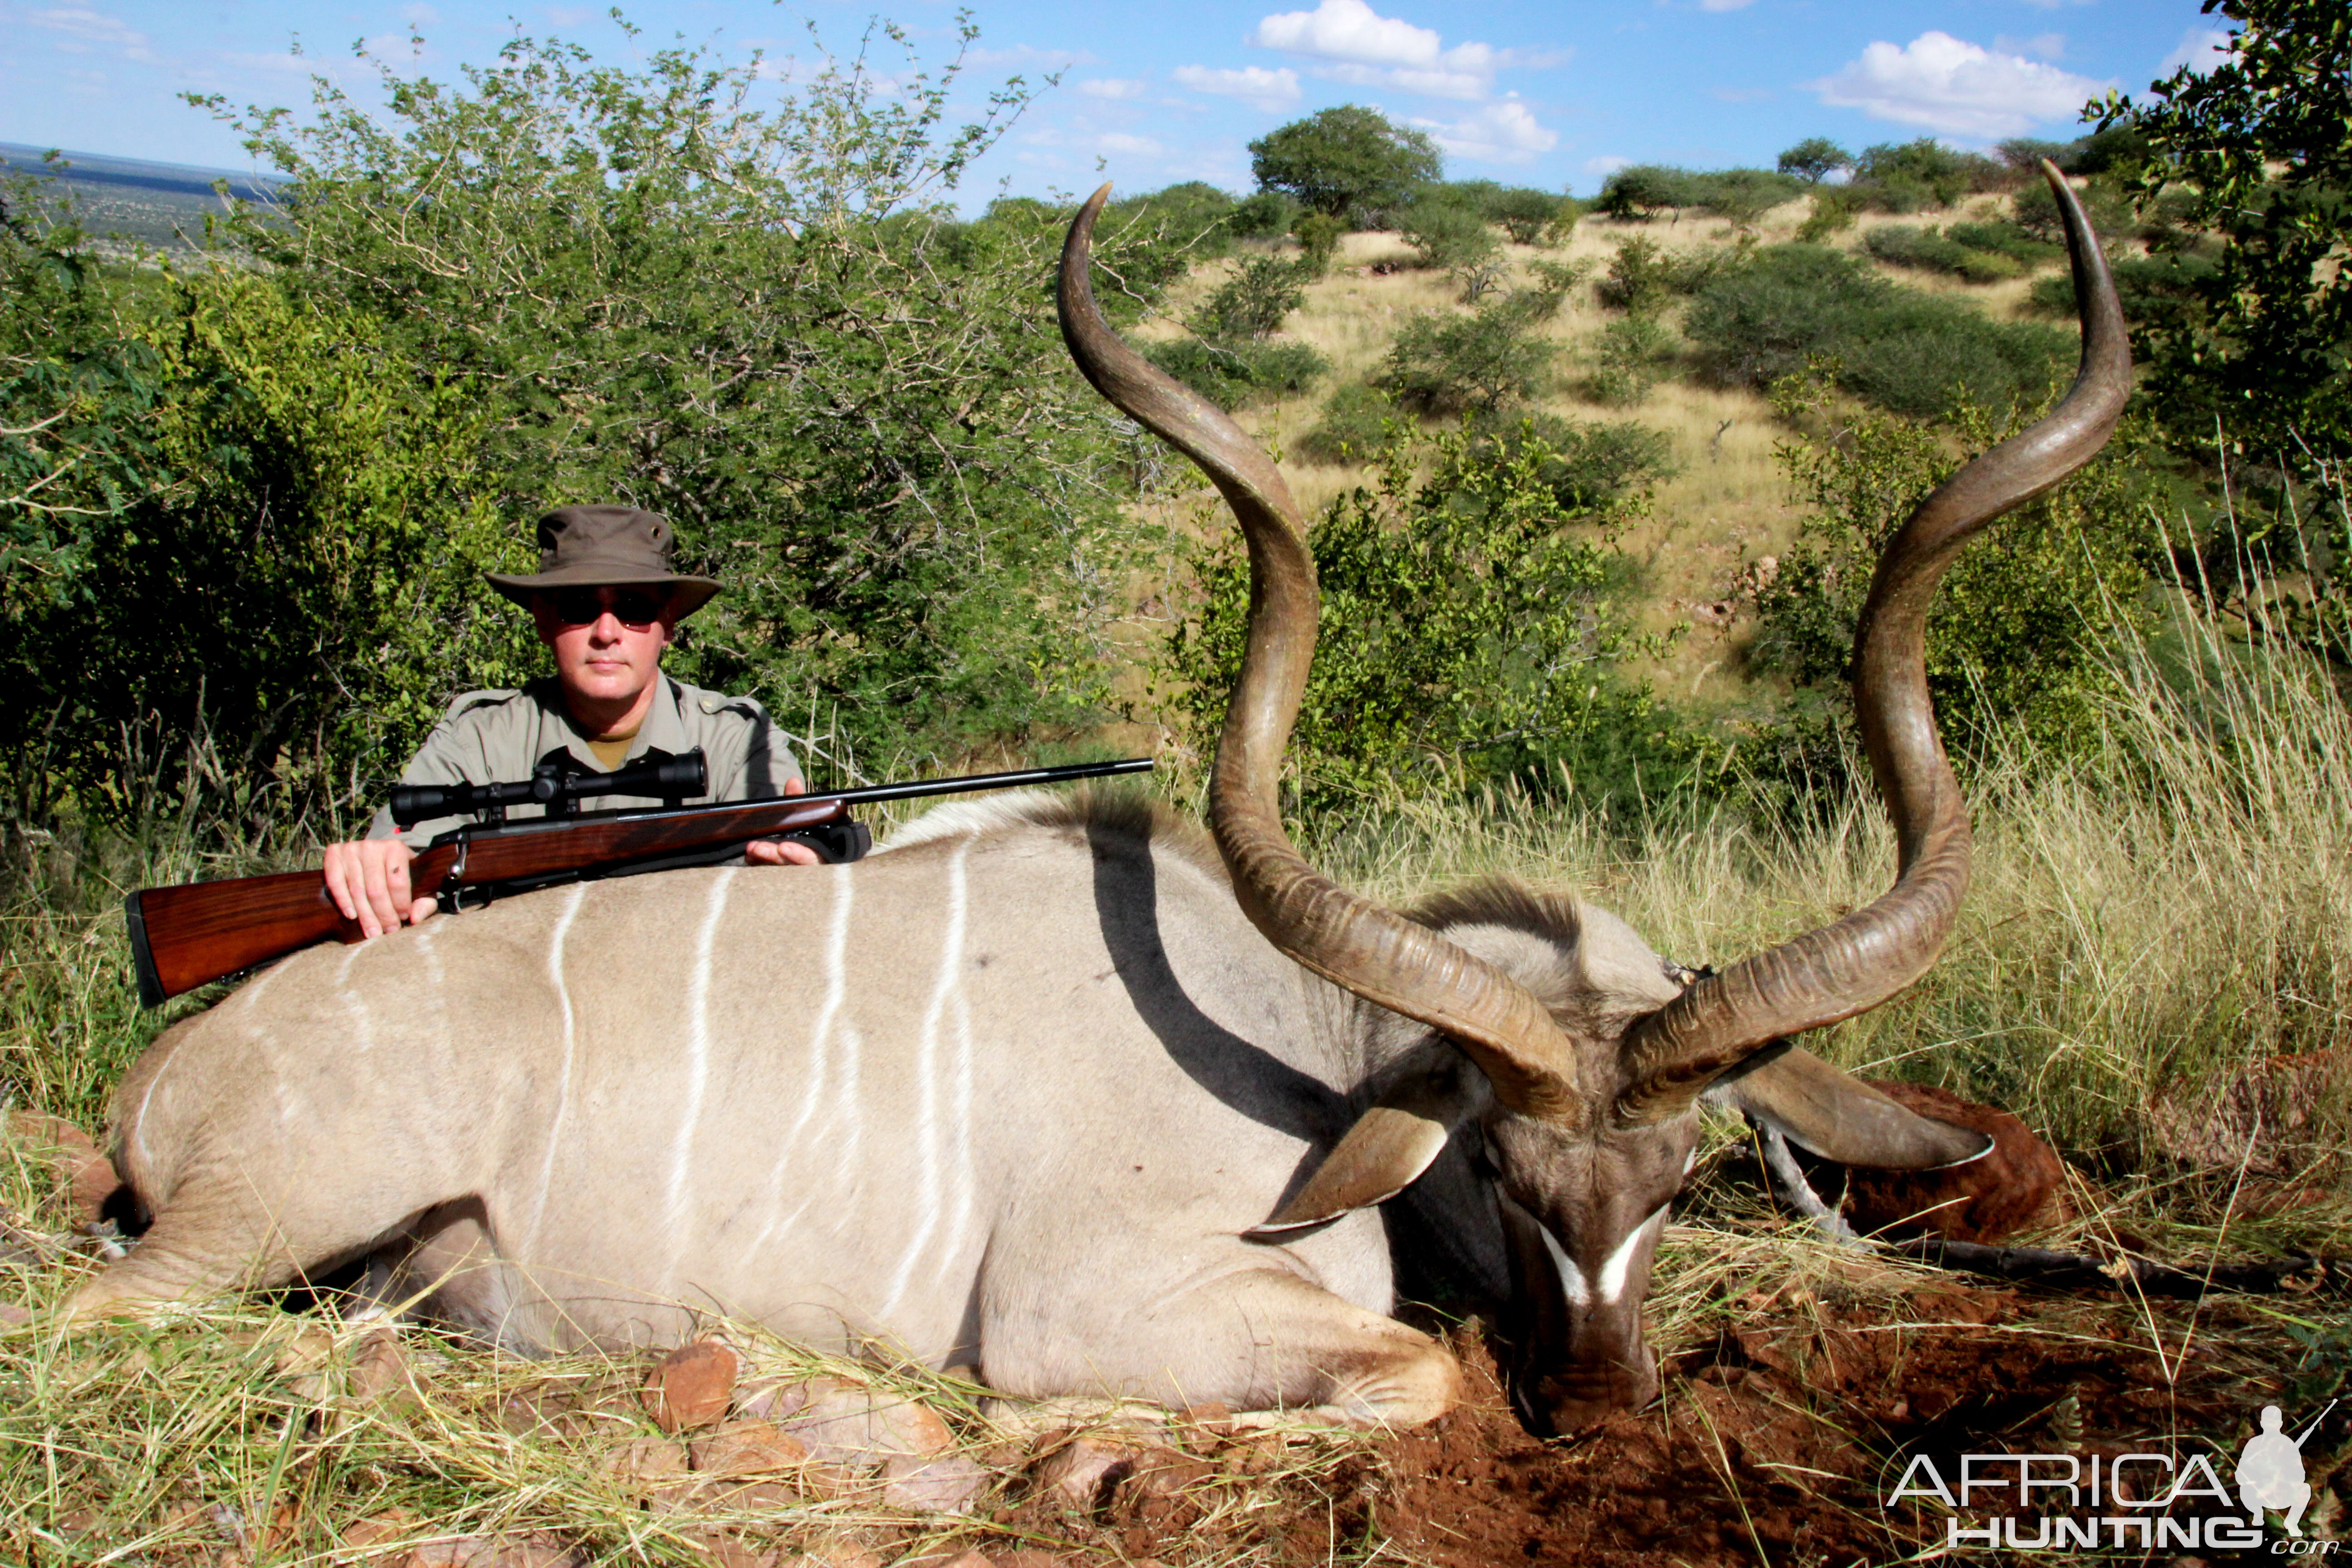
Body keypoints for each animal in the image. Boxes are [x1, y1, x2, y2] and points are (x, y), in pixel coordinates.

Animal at [78, 169, 2136, 1439]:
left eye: (1687, 1175)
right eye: (1496, 1164)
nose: (1607, 1403)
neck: (1298, 1043)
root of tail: (166, 1075)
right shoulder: (1110, 1305)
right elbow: (1411, 1374)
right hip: (260, 1216)